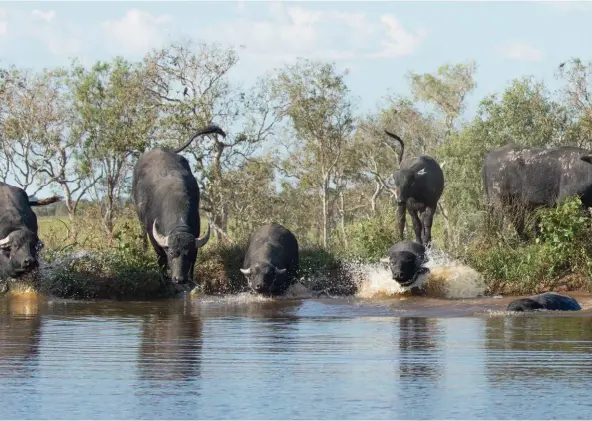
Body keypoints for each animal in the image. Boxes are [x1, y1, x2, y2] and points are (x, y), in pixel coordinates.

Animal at [132, 122, 227, 286]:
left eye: (187, 254)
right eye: (171, 252)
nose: (179, 279)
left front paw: (191, 278)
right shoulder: (154, 236)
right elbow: (160, 259)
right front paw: (163, 279)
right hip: (141, 219)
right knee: (142, 233)